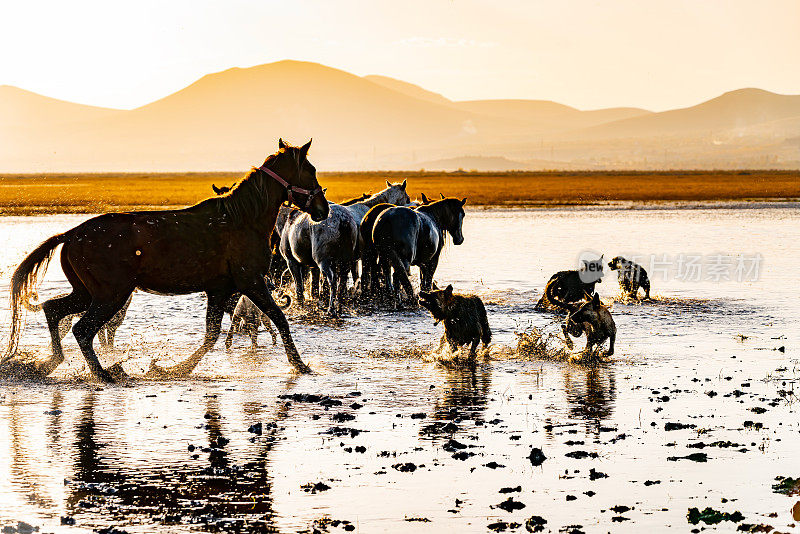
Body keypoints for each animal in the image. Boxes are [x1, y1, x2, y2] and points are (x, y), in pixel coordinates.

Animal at [3, 138, 328, 382]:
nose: (323, 209)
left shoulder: (219, 289)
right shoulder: (251, 281)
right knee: (82, 329)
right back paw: (104, 374)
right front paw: (300, 365)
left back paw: (49, 363)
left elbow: (211, 335)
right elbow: (279, 318)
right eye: (310, 169)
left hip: (87, 293)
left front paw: (172, 368)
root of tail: (71, 234)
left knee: (53, 310)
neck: (242, 220)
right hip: (110, 295)